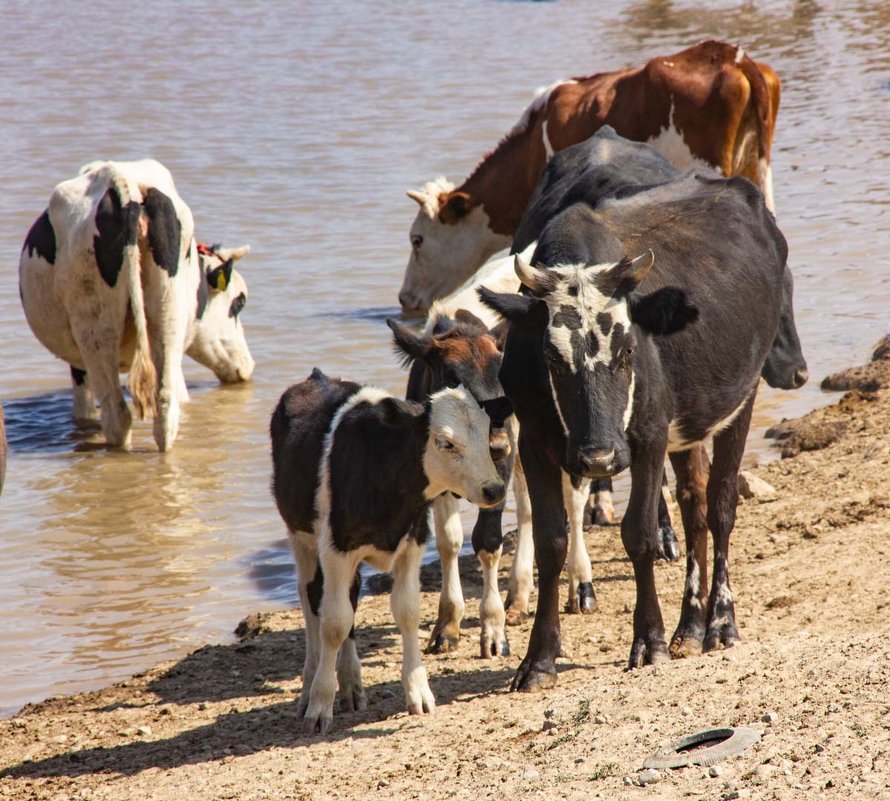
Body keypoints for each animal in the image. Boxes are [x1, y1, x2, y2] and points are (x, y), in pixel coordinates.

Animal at [18, 159, 253, 454]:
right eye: (239, 302)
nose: (248, 366)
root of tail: (123, 184)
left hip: (94, 327)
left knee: (118, 413)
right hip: (166, 316)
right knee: (164, 408)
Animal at [268, 368, 506, 732]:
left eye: (486, 436)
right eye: (445, 442)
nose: (494, 489)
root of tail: (316, 377)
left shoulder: (412, 543)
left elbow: (407, 611)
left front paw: (418, 693)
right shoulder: (336, 549)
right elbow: (334, 623)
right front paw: (320, 705)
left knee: (348, 597)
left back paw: (351, 684)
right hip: (300, 538)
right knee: (311, 601)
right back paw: (310, 687)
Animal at [482, 167, 796, 688]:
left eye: (629, 350)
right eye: (552, 357)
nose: (599, 458)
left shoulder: (649, 437)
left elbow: (640, 535)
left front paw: (649, 641)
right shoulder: (536, 442)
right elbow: (551, 542)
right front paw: (538, 659)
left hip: (742, 397)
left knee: (721, 506)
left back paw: (719, 623)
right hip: (687, 428)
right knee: (694, 506)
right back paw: (690, 626)